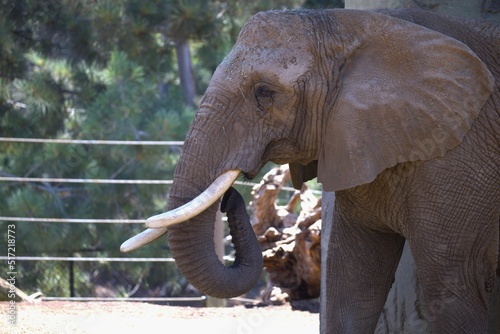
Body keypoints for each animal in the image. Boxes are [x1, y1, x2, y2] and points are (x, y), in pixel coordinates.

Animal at [122, 8, 500, 334]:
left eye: (264, 92)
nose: (230, 196)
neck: (361, 25)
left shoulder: (460, 156)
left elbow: (453, 289)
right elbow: (352, 282)